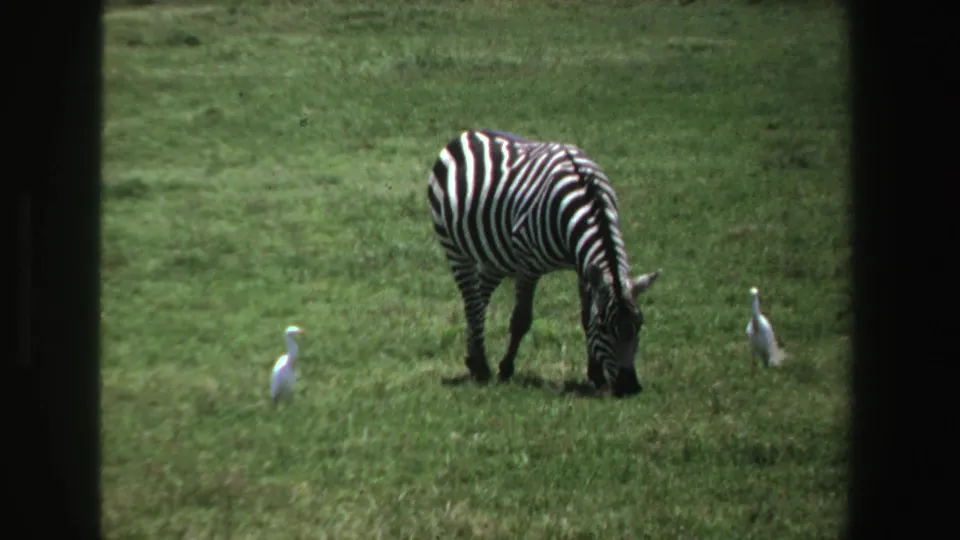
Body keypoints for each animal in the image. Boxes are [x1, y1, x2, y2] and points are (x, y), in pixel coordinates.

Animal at [427, 129, 662, 396]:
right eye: (604, 327)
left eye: (639, 325)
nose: (629, 386)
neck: (587, 199)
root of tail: (468, 133)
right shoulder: (528, 266)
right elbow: (521, 319)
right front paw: (506, 369)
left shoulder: (583, 268)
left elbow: (585, 317)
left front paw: (595, 375)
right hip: (454, 247)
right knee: (471, 301)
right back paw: (481, 367)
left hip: (495, 256)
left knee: (480, 297)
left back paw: (473, 357)